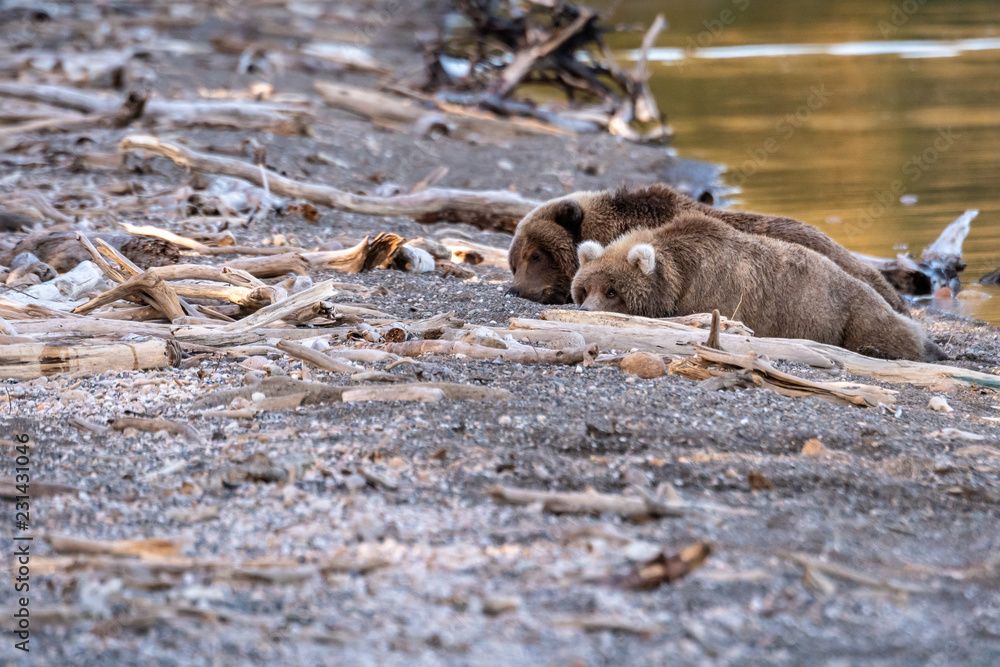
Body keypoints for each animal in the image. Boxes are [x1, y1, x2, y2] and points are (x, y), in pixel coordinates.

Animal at [570, 211, 945, 362]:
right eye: (584, 289)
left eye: (612, 291)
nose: (585, 309)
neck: (677, 272)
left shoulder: (711, 288)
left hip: (847, 313)